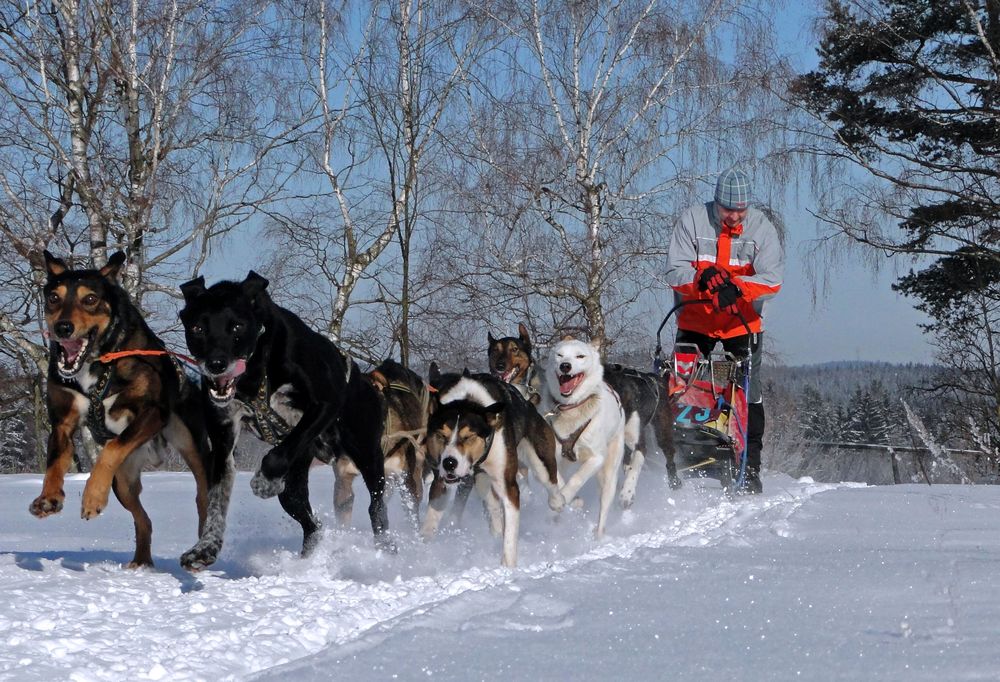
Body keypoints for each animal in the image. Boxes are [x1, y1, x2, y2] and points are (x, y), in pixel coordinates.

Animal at [30, 251, 229, 568]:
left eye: (90, 299)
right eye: (53, 297)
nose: (62, 327)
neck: (99, 361)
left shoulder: (153, 413)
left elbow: (112, 447)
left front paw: (92, 497)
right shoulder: (62, 421)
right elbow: (55, 462)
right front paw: (49, 497)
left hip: (194, 449)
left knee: (202, 498)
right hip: (123, 481)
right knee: (143, 520)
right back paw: (141, 561)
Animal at [178, 270, 388, 552]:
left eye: (237, 326)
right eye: (198, 328)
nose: (216, 364)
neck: (257, 371)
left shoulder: (325, 404)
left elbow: (275, 457)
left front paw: (265, 481)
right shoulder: (222, 438)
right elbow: (216, 500)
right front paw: (206, 546)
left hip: (367, 454)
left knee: (377, 506)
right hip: (297, 483)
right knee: (312, 525)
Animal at [548, 334, 624, 536]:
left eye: (580, 356)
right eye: (560, 355)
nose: (565, 366)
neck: (572, 408)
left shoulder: (596, 458)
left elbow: (577, 478)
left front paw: (565, 496)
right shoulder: (552, 454)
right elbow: (558, 480)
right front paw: (566, 500)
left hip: (609, 472)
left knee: (604, 504)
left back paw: (599, 536)